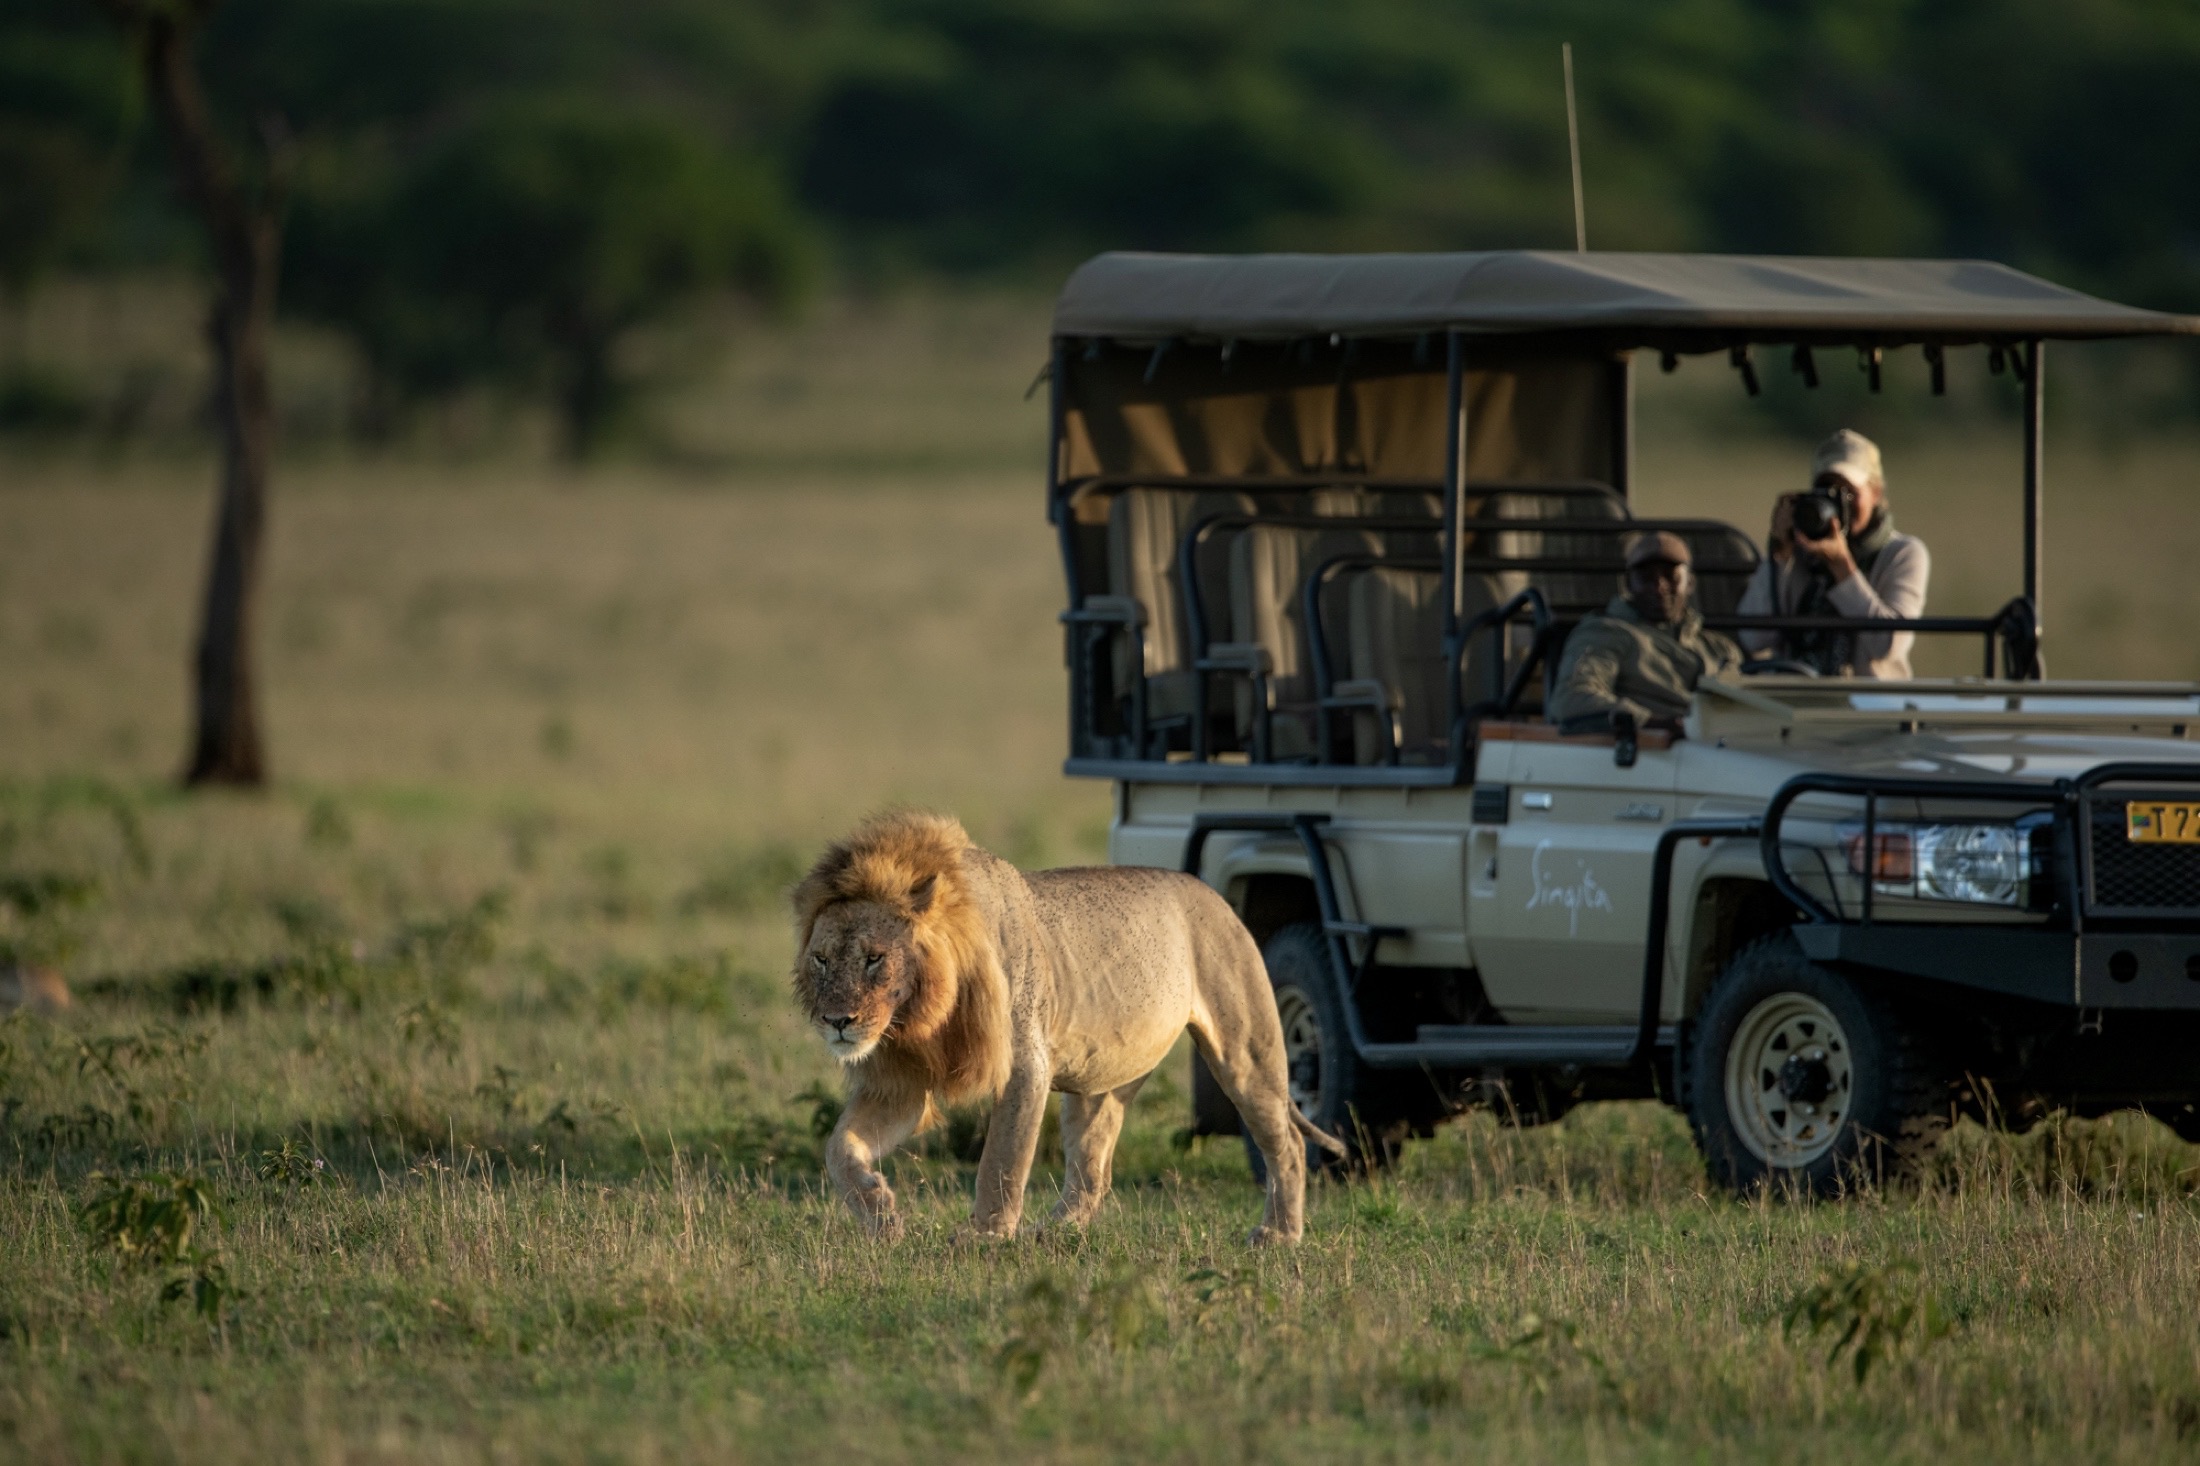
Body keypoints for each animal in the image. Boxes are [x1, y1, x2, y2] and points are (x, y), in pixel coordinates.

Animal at [792, 805, 1337, 1241]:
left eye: (875, 959)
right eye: (821, 960)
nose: (837, 1021)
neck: (920, 1019)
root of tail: (1213, 893)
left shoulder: (1023, 1067)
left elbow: (1002, 1160)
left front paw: (984, 1235)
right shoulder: (903, 1082)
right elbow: (838, 1148)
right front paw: (882, 1214)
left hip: (1247, 1050)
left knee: (1288, 1143)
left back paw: (1278, 1235)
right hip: (1101, 1082)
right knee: (1094, 1169)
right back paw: (1052, 1233)